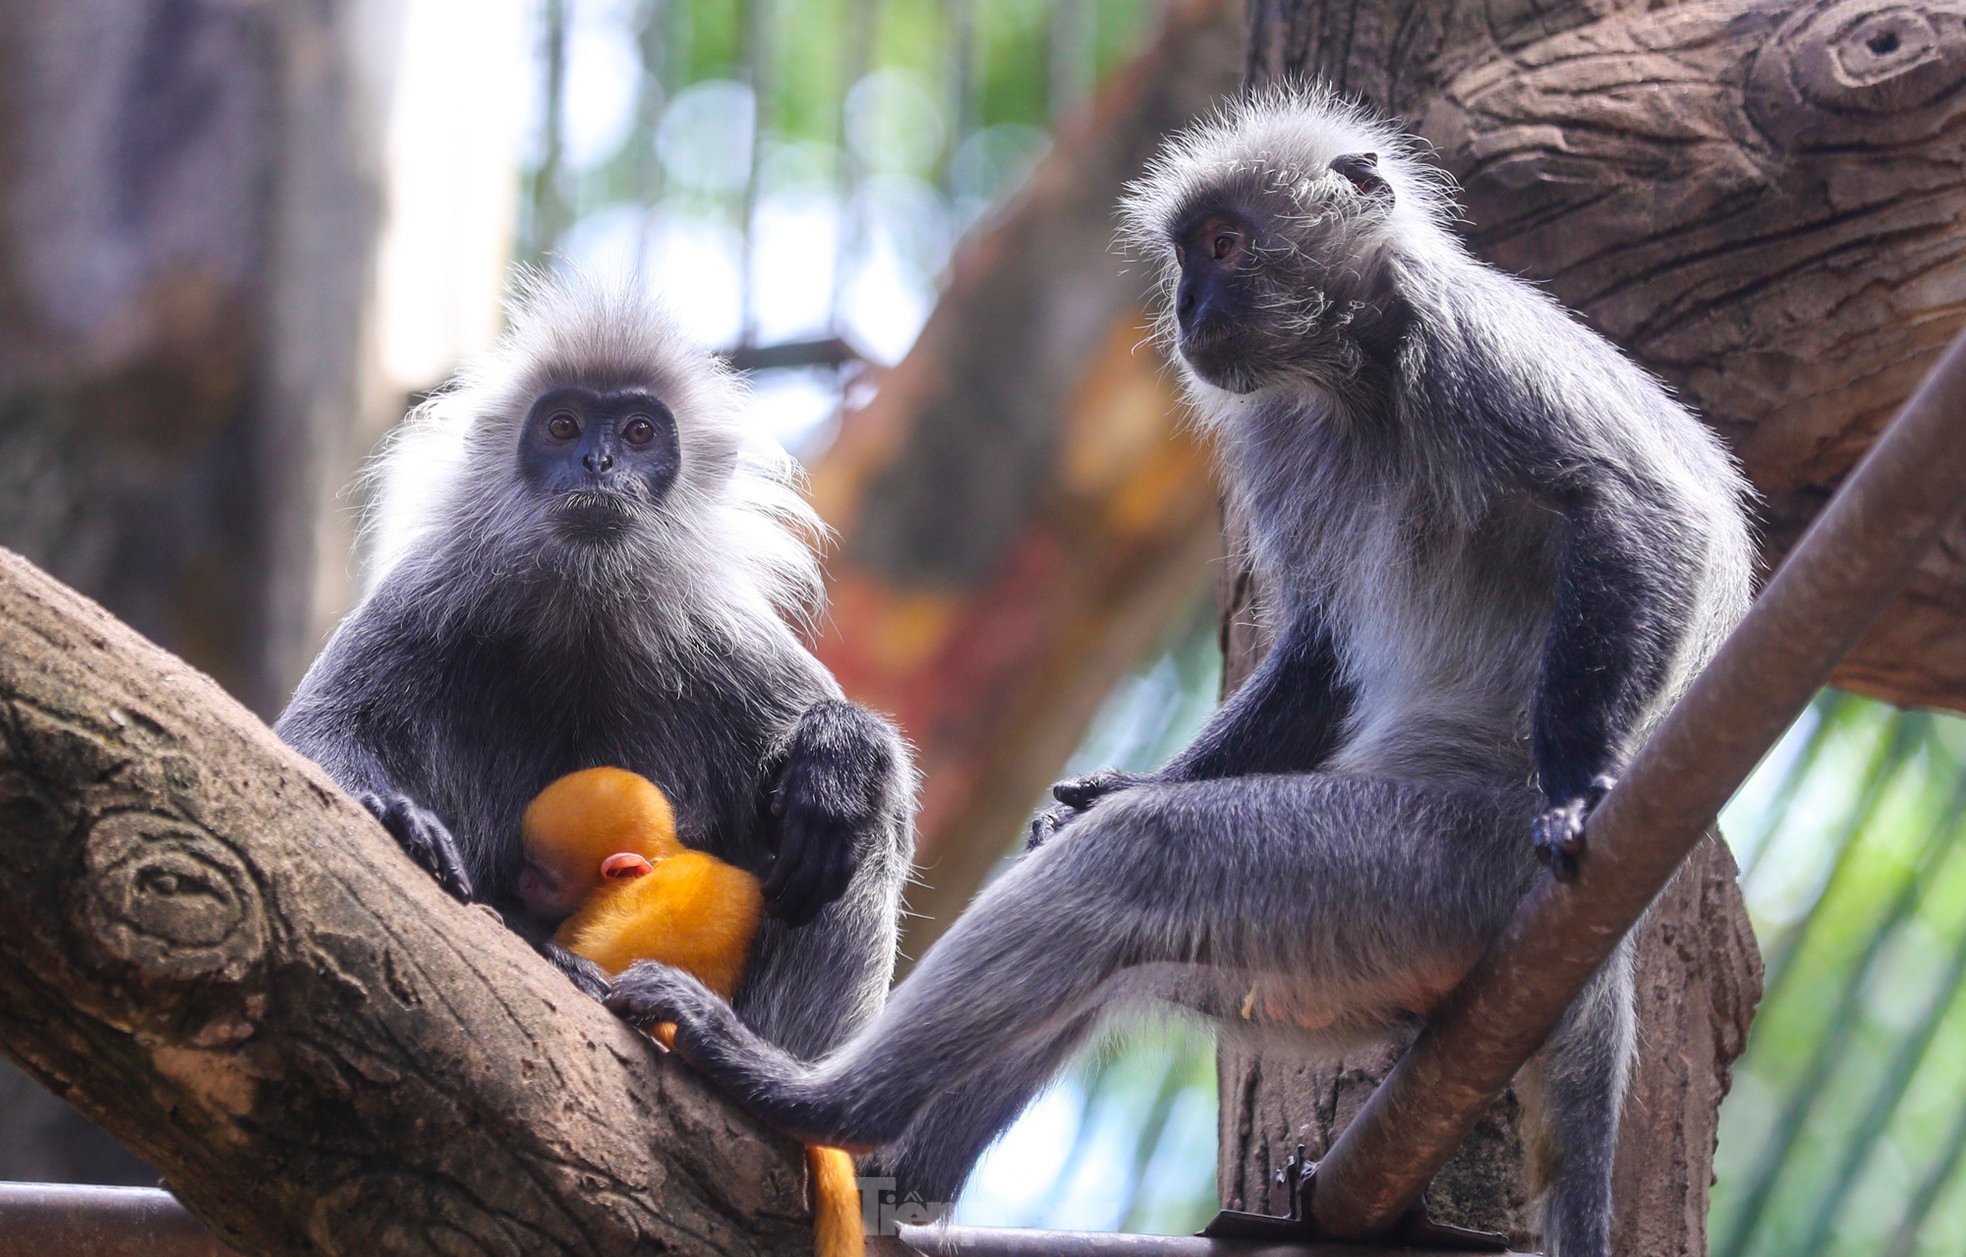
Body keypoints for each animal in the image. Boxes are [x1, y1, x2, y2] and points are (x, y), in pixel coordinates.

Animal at [277, 277, 912, 1062]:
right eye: (563, 426)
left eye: (639, 434)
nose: (597, 465)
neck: (585, 604)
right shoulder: (423, 600)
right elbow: (314, 739)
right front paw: (393, 811)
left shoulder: (725, 636)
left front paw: (841, 751)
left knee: (861, 819)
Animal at [609, 90, 1753, 1257]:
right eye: (1187, 257)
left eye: (1225, 247)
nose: (1189, 304)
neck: (1360, 379)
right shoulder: (1284, 425)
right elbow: (1322, 653)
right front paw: (1106, 787)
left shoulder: (1463, 337)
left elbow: (1637, 506)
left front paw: (1574, 789)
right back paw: (891, 1176)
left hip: (1437, 872)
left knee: (1139, 862)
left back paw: (817, 1102)